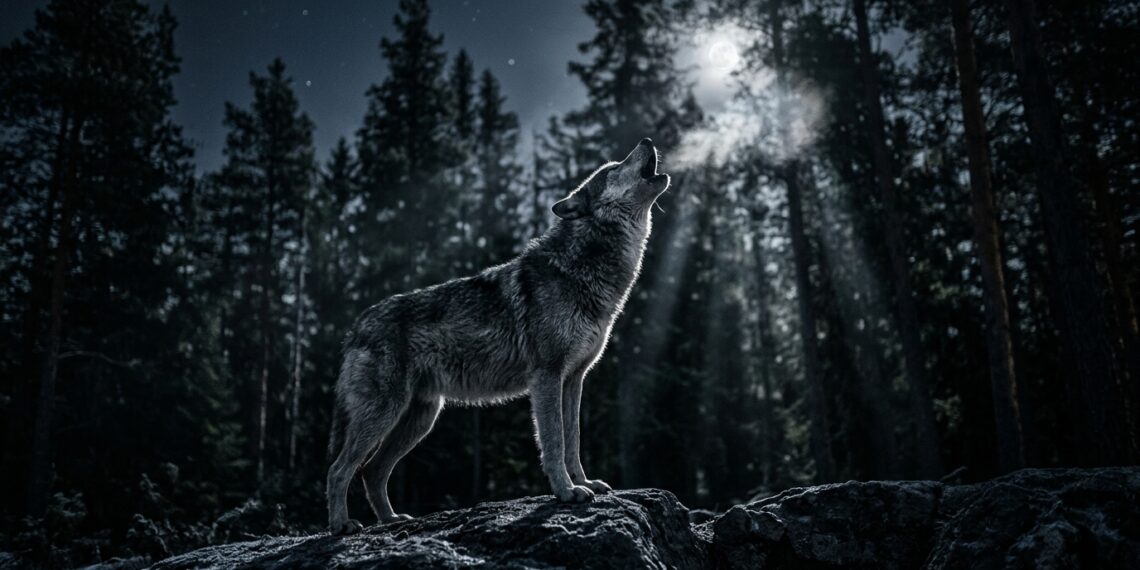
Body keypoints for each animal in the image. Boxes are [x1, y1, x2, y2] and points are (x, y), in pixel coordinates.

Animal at [326, 138, 671, 535]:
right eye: (613, 168)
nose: (647, 141)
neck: (582, 268)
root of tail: (355, 327)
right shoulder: (547, 377)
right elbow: (554, 441)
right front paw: (566, 492)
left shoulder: (574, 380)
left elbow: (573, 439)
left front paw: (584, 482)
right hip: (385, 414)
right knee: (339, 469)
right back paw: (341, 525)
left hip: (419, 419)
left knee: (372, 471)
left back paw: (391, 520)